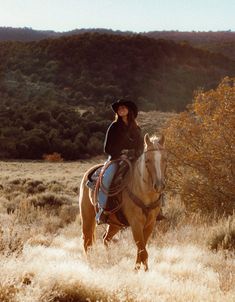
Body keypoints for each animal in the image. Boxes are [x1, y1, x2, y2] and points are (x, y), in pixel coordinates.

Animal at [79, 133, 167, 270]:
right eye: (147, 160)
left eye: (165, 159)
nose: (159, 186)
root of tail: (90, 172)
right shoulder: (136, 224)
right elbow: (143, 252)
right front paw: (140, 272)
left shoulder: (150, 224)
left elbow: (142, 251)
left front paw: (140, 271)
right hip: (87, 218)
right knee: (87, 242)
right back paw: (91, 264)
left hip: (115, 223)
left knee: (106, 239)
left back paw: (109, 262)